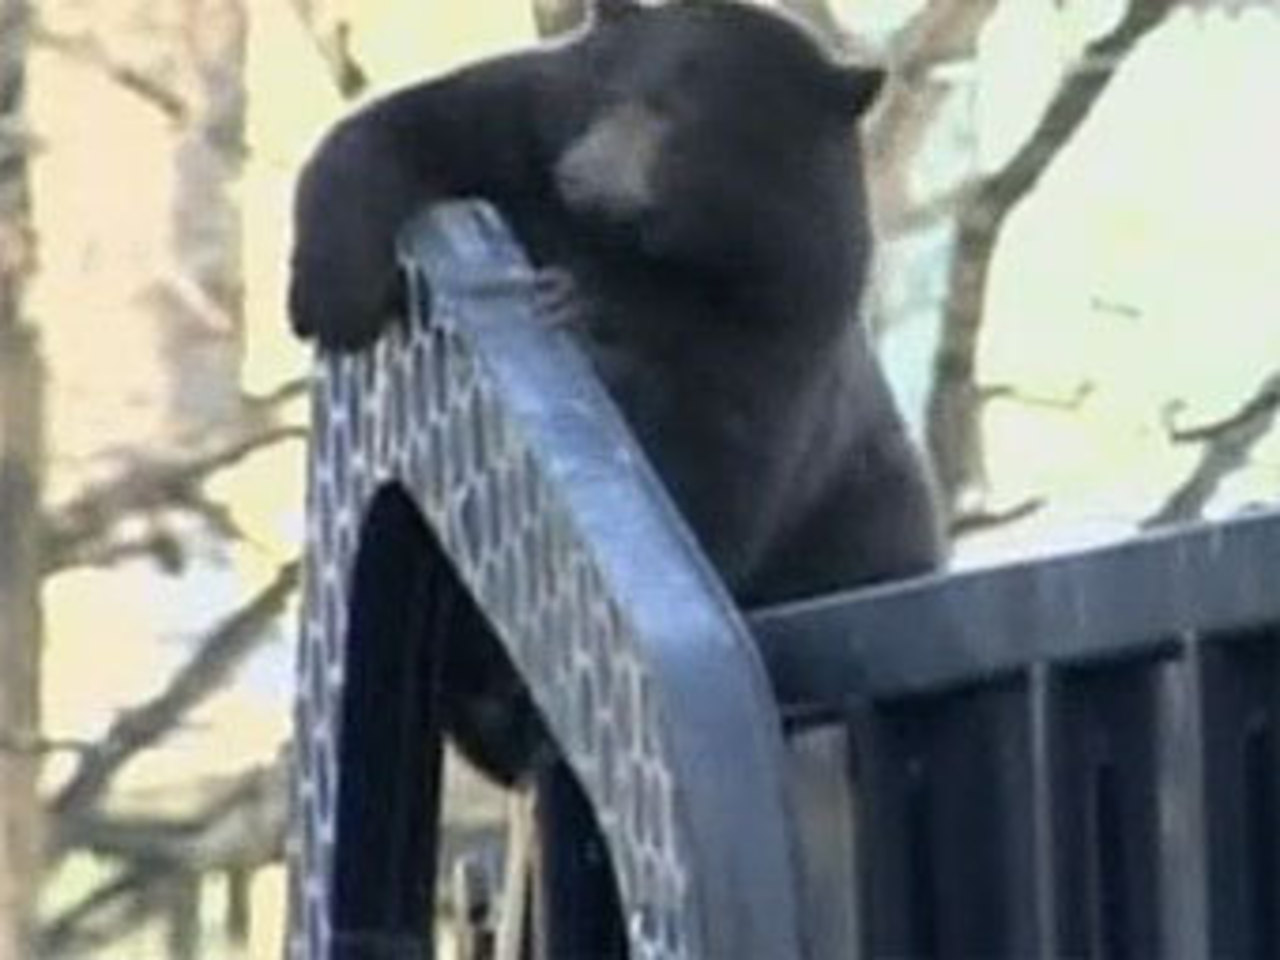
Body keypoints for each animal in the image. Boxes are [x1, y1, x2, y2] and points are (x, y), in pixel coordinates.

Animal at [290, 0, 944, 782]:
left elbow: (708, 469)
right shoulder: (517, 140)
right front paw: (331, 297)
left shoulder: (779, 334)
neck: (640, 249)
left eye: (680, 117)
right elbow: (405, 128)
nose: (586, 173)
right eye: (609, 91)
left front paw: (583, 314)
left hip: (867, 523)